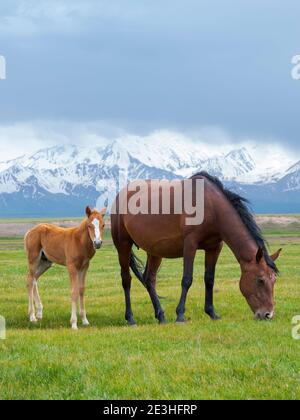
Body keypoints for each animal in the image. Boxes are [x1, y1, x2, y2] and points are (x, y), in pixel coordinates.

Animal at [111, 172, 282, 326]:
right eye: (260, 280)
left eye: (274, 279)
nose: (268, 314)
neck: (211, 206)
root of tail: (120, 195)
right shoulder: (190, 244)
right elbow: (187, 279)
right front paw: (180, 315)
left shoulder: (214, 247)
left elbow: (209, 279)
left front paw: (212, 313)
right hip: (123, 245)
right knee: (126, 280)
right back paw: (131, 318)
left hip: (154, 252)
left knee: (149, 279)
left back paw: (161, 316)